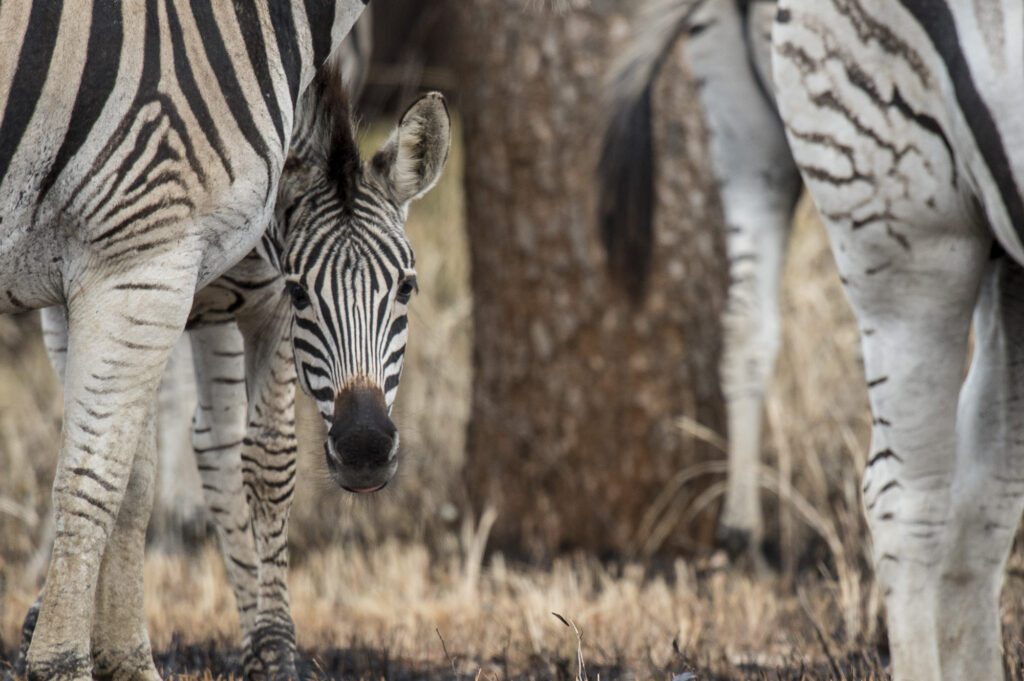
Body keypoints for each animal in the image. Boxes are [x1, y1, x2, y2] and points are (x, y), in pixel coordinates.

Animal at [21, 65, 450, 681]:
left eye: (407, 288)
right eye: (303, 292)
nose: (366, 450)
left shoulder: (264, 312)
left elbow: (268, 462)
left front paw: (272, 645)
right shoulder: (116, 294)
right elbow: (110, 459)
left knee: (216, 444)